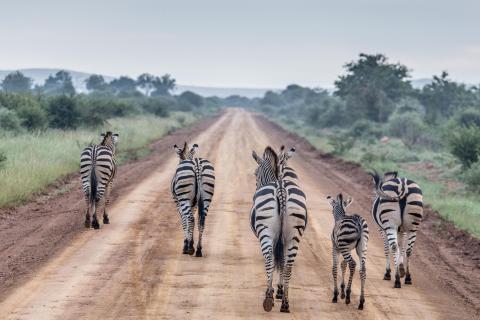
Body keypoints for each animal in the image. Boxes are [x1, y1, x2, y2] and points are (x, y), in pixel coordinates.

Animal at [249, 145, 306, 312]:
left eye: (256, 173)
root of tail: (281, 189)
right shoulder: (283, 240)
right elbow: (281, 261)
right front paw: (280, 291)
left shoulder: (274, 238)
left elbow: (274, 261)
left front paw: (275, 291)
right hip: (294, 236)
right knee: (288, 265)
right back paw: (285, 303)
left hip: (265, 232)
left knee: (269, 259)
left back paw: (268, 297)